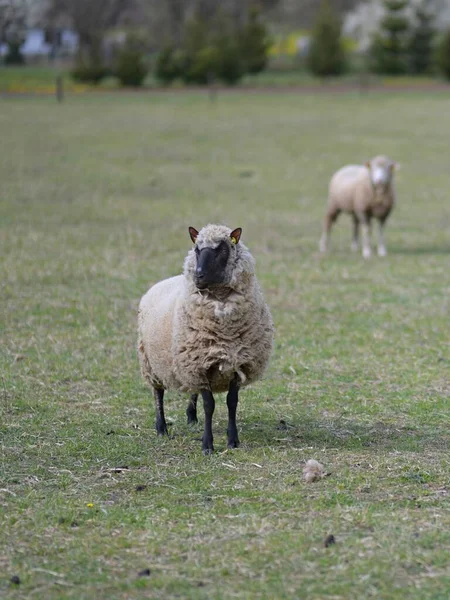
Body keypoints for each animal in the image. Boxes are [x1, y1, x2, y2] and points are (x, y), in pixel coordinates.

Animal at [136, 225, 274, 454]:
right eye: (197, 249)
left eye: (221, 249)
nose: (198, 275)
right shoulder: (199, 365)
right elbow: (209, 405)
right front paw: (207, 445)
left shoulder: (235, 362)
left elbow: (232, 402)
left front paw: (233, 440)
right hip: (151, 363)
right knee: (158, 393)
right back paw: (161, 427)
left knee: (193, 393)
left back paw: (191, 417)